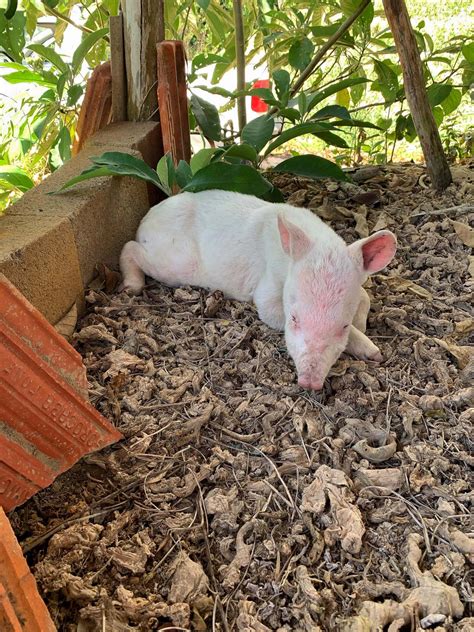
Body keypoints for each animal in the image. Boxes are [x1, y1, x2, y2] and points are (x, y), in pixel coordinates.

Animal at [119, 190, 396, 390]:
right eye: (294, 319)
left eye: (343, 326)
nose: (309, 383)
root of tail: (146, 219)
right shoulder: (266, 289)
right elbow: (267, 309)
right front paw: (374, 352)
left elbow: (365, 296)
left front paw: (371, 345)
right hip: (175, 262)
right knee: (129, 247)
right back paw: (132, 288)